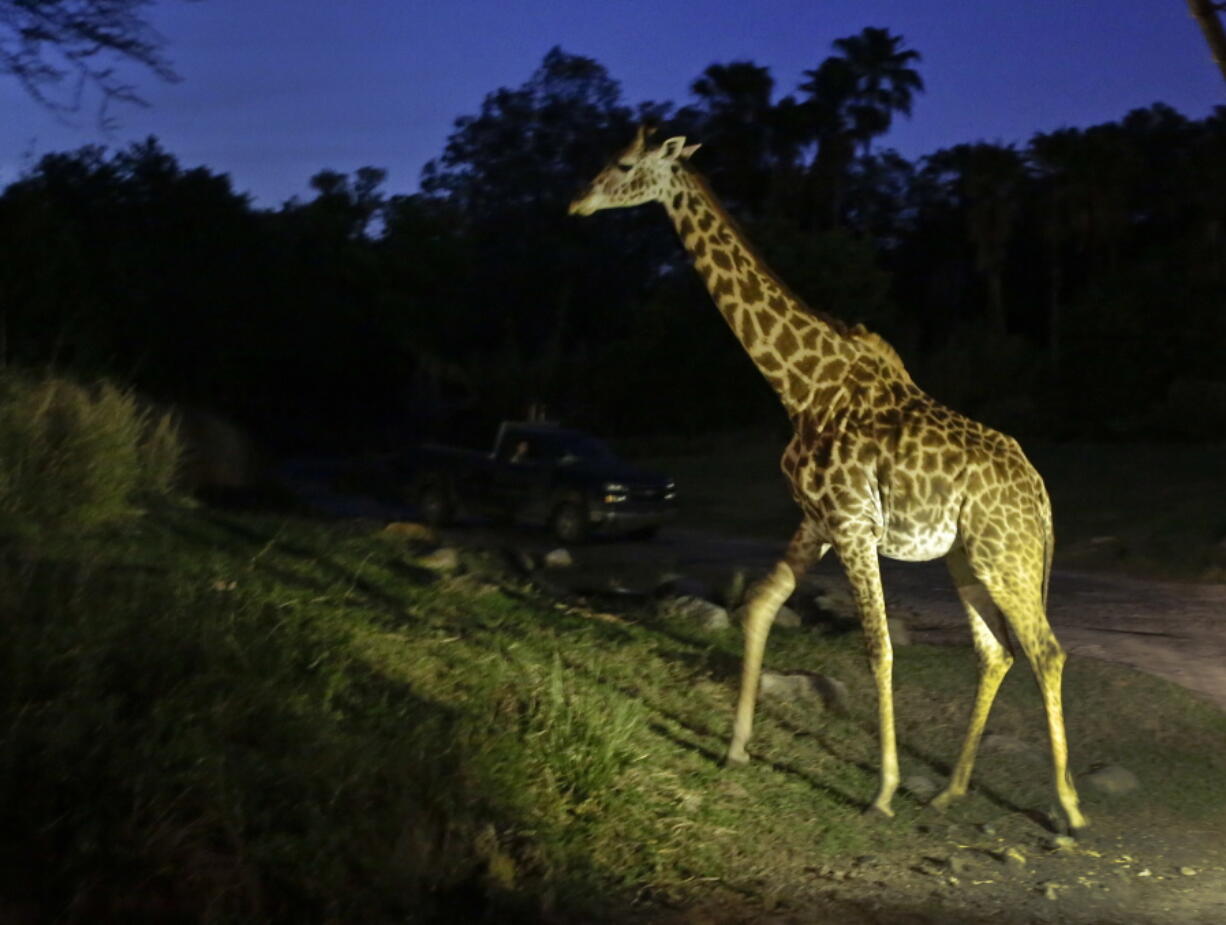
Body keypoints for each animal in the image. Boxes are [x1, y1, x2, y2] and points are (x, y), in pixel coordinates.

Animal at [568, 124, 1088, 829]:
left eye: (624, 164)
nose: (578, 203)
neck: (802, 388)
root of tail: (1041, 493)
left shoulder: (852, 523)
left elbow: (879, 647)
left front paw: (883, 789)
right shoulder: (816, 519)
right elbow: (760, 606)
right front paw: (736, 747)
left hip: (1006, 556)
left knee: (1045, 650)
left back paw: (1068, 812)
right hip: (968, 559)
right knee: (998, 651)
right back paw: (951, 789)